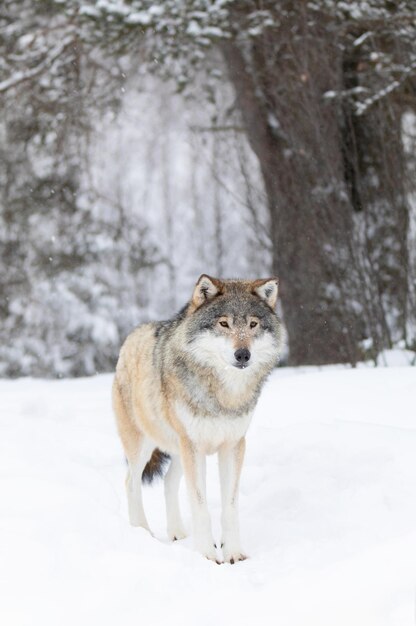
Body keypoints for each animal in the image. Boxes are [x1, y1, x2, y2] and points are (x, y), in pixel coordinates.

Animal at [113, 272, 282, 560]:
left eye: (253, 324)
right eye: (223, 323)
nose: (243, 354)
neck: (224, 395)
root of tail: (132, 335)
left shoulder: (232, 445)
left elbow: (230, 506)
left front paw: (233, 553)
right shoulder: (193, 446)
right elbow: (200, 505)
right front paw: (206, 555)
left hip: (179, 450)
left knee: (168, 482)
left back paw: (178, 534)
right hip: (145, 446)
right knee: (130, 483)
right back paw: (142, 532)